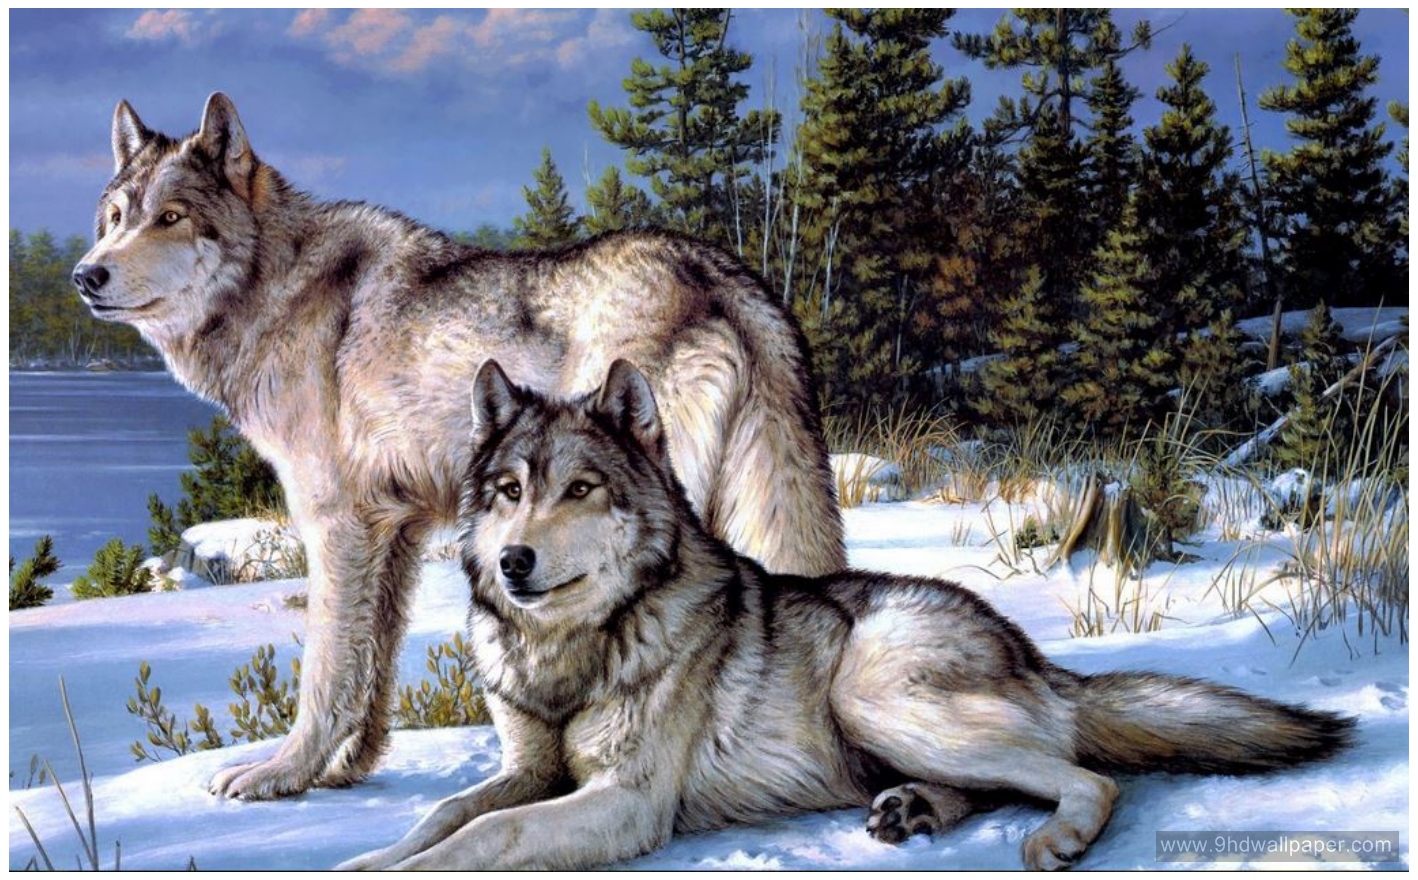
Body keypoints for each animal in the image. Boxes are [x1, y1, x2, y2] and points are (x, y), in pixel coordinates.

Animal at [70, 93, 845, 800]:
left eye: (171, 218)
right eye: (115, 219)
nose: (86, 275)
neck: (276, 288)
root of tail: (724, 274)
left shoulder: (335, 526)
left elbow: (325, 671)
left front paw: (281, 775)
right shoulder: (395, 530)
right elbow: (372, 666)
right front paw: (347, 770)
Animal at [340, 359, 1354, 871]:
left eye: (580, 490)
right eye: (509, 492)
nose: (513, 562)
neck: (569, 654)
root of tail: (1029, 650)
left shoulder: (625, 804)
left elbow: (484, 835)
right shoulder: (529, 772)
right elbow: (443, 817)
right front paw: (362, 860)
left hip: (872, 696)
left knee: (1089, 778)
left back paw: (1055, 837)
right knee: (1013, 776)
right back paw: (913, 810)